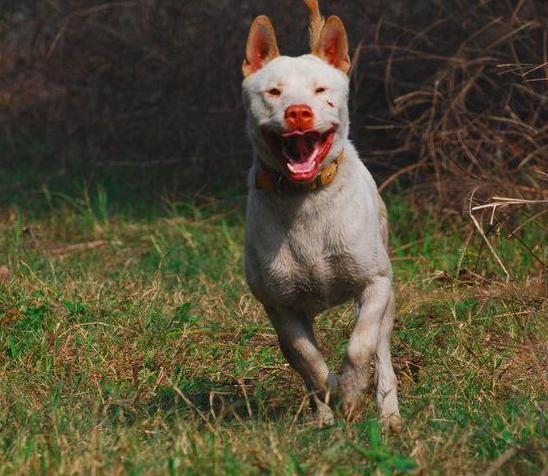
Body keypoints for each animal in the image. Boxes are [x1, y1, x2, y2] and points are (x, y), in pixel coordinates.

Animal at [242, 0, 400, 432]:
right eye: (274, 92)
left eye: (320, 90)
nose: (298, 112)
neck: (306, 200)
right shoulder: (279, 305)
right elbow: (306, 359)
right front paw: (331, 394)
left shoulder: (375, 284)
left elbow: (360, 345)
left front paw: (352, 390)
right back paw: (324, 418)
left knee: (382, 354)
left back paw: (389, 416)